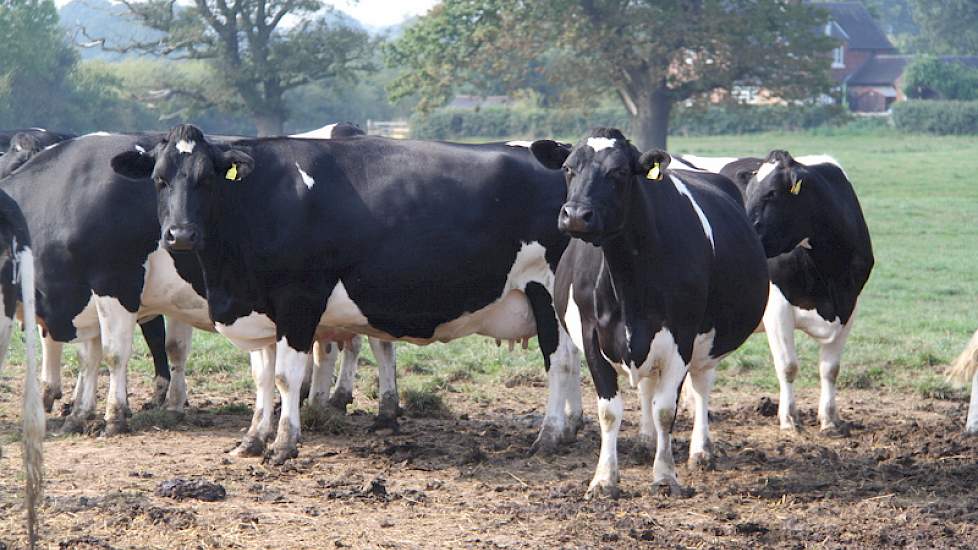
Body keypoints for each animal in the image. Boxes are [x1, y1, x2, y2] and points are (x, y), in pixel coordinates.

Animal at [108, 125, 580, 466]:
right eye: (159, 180)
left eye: (206, 179)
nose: (180, 235)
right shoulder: (257, 308)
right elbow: (262, 376)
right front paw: (252, 440)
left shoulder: (298, 301)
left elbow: (286, 377)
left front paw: (284, 445)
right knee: (573, 359)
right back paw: (571, 429)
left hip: (545, 292)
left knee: (558, 362)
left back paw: (550, 436)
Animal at [528, 130, 768, 500]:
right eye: (568, 168)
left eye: (619, 172)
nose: (576, 215)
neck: (627, 277)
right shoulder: (591, 335)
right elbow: (609, 412)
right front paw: (604, 479)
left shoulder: (682, 337)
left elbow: (666, 410)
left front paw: (665, 476)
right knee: (647, 387)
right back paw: (645, 441)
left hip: (707, 342)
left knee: (700, 386)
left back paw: (701, 451)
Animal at [676, 151, 872, 436]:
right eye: (749, 192)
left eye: (771, 194)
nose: (743, 232)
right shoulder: (777, 307)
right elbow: (788, 366)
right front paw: (789, 419)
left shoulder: (849, 305)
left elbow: (830, 369)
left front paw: (830, 420)